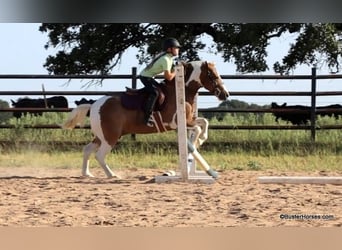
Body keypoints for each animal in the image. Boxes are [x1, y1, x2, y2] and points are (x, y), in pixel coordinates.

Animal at [62, 60, 228, 178]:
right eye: (212, 75)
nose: (225, 95)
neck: (182, 91)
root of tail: (94, 104)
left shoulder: (189, 120)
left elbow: (204, 122)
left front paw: (200, 140)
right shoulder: (176, 123)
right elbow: (199, 127)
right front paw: (199, 140)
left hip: (102, 136)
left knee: (87, 150)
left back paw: (87, 174)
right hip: (111, 137)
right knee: (100, 155)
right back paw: (112, 175)